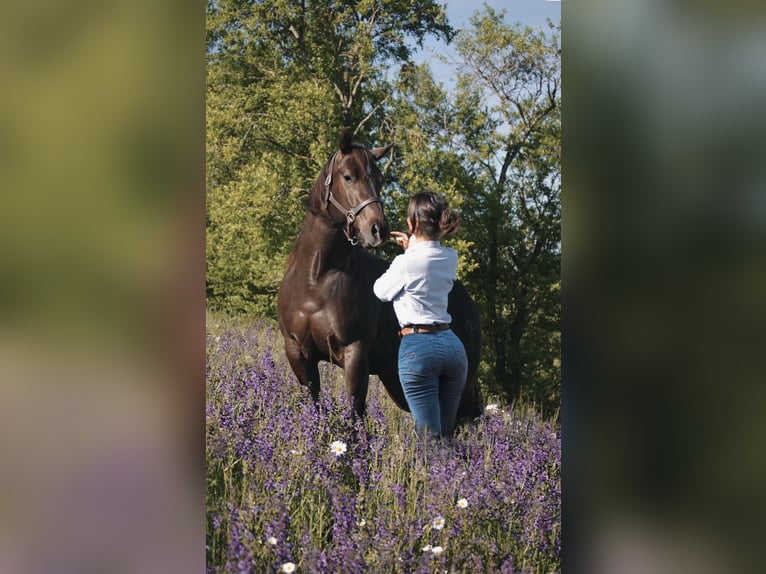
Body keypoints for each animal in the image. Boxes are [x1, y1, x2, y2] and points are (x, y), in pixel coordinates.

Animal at [277, 128, 484, 427]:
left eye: (380, 179)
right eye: (348, 176)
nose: (378, 230)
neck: (315, 279)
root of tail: (470, 305)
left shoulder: (355, 354)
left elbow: (355, 413)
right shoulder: (298, 353)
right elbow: (314, 406)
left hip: (460, 383)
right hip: (399, 380)